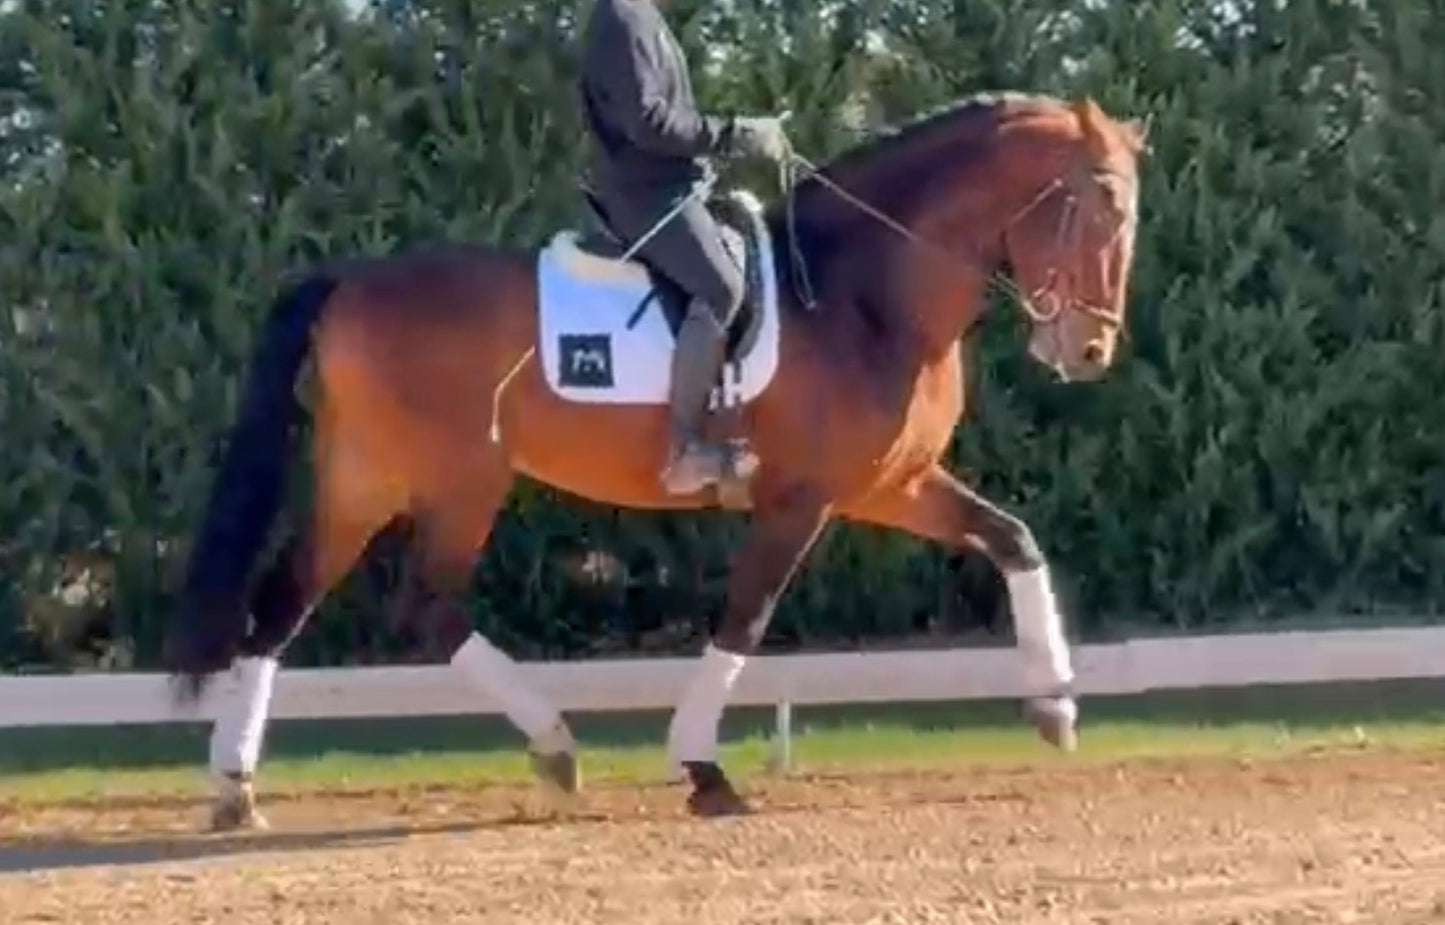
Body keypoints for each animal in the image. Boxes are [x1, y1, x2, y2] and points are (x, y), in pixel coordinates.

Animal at [162, 91, 1147, 830]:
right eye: (1095, 203)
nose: (1088, 352)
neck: (860, 293)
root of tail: (350, 280)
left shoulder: (888, 484)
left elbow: (1013, 539)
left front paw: (1055, 707)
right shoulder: (801, 500)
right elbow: (745, 619)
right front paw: (705, 769)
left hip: (367, 481)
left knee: (292, 606)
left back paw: (240, 787)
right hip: (449, 480)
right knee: (412, 605)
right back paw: (547, 747)